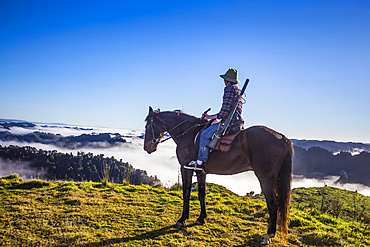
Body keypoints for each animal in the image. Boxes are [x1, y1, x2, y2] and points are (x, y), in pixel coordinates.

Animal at [143, 106, 294, 245]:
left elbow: (186, 193)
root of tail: (282, 138)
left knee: (273, 204)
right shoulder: (200, 172)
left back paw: (268, 235)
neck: (187, 131)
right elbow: (201, 194)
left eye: (147, 125)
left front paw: (182, 219)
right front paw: (201, 218)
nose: (146, 148)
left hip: (266, 179)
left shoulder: (185, 168)